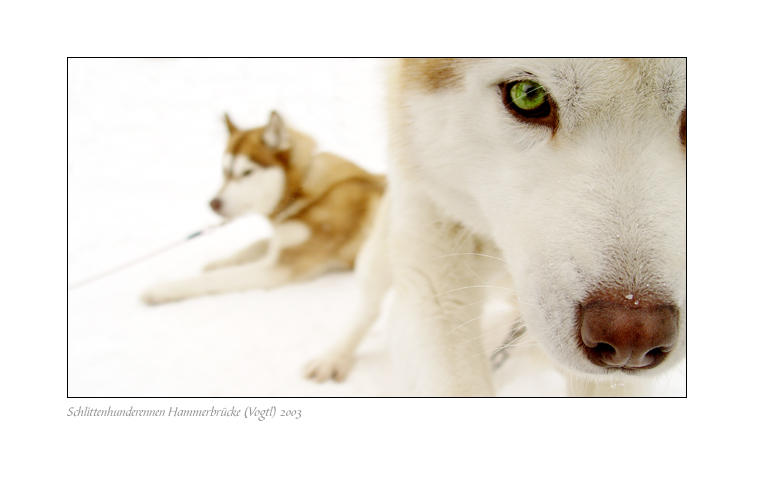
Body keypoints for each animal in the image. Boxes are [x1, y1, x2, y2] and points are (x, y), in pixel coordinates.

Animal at [141, 110, 386, 304]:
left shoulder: (281, 266)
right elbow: (256, 244)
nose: (214, 203)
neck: (302, 192)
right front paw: (222, 261)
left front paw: (163, 289)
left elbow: (219, 278)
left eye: (247, 172)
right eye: (225, 171)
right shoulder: (282, 240)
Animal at [306, 58, 684, 394]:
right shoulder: (433, 292)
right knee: (366, 307)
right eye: (528, 94)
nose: (633, 340)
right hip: (383, 251)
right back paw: (334, 356)